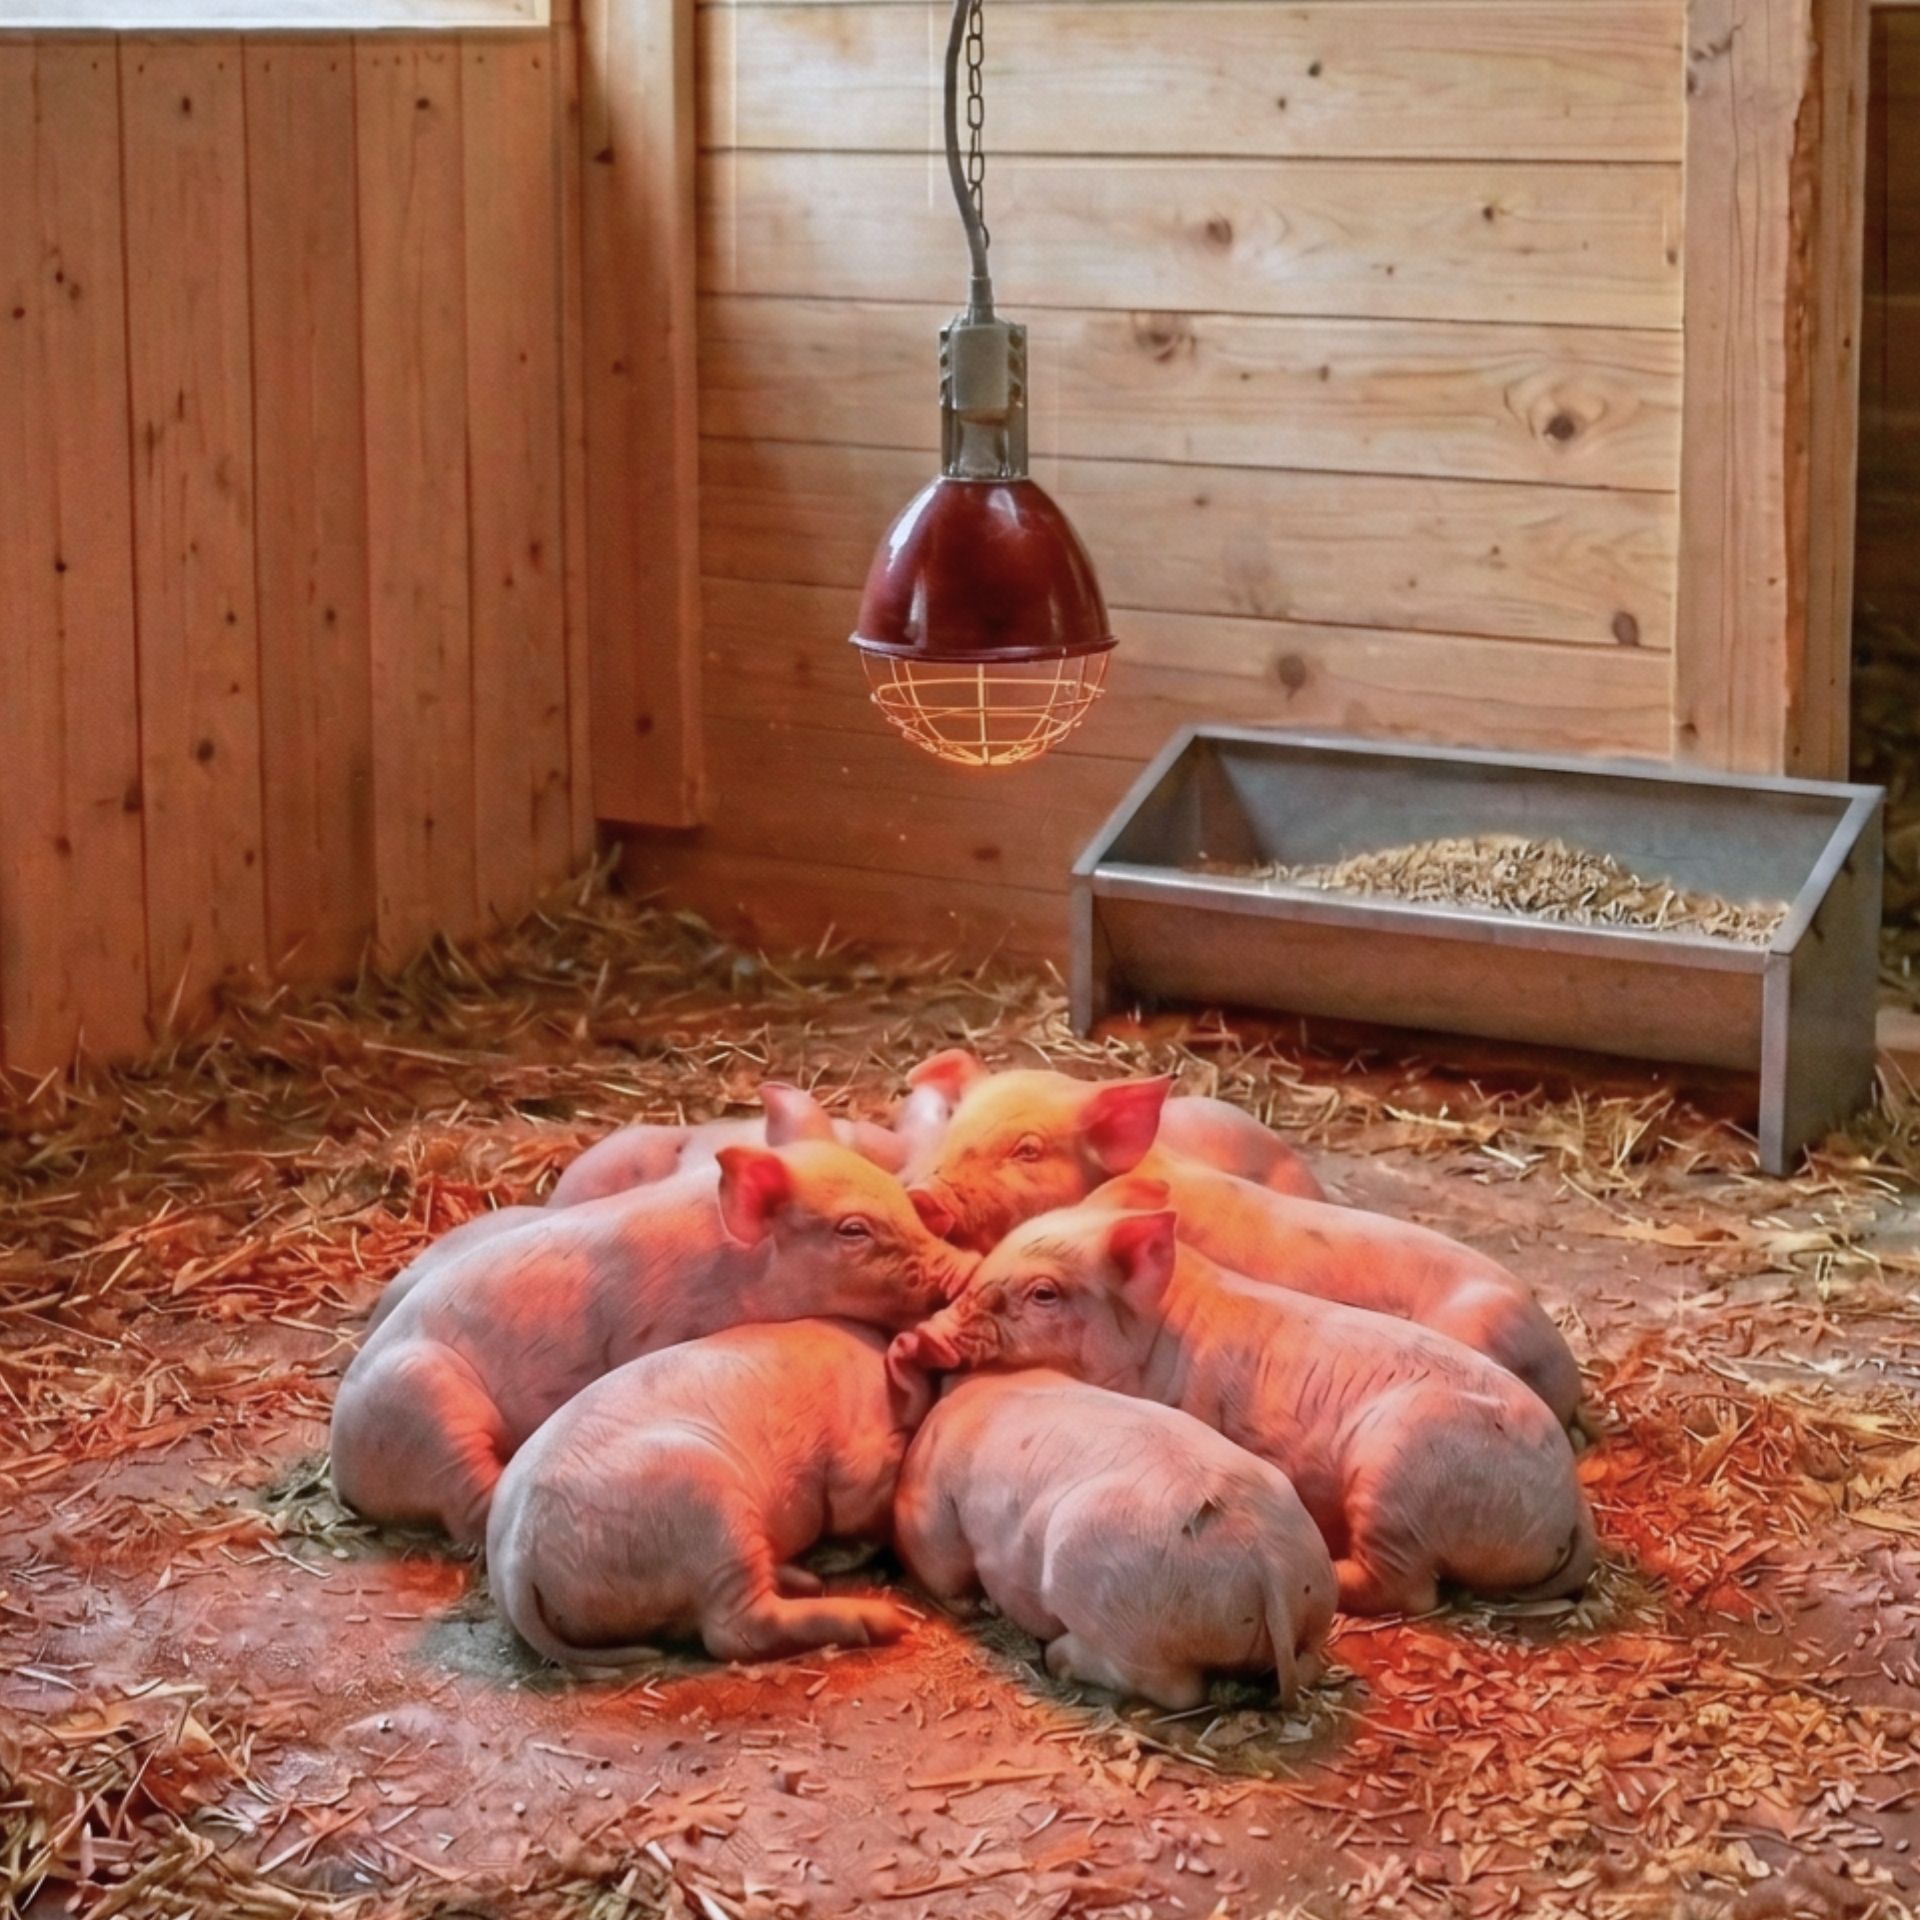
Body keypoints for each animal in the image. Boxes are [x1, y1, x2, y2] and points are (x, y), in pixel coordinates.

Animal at [331, 1142, 974, 1545]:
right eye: (852, 1230)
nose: (964, 1268)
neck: (735, 1273)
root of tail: (345, 1469)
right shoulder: (660, 1329)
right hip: (424, 1399)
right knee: (468, 1510)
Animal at [489, 1319, 923, 1665]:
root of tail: (516, 1565)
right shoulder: (856, 1459)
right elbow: (859, 1505)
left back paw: (803, 1579)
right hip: (706, 1509)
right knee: (734, 1632)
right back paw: (886, 1622)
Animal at [892, 1207, 1595, 1617]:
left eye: (1043, 1294)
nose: (920, 1334)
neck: (1158, 1343)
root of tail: (1571, 1505)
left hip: (1401, 1476)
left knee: (1409, 1589)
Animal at [893, 1370, 1335, 1709]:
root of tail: (1264, 1559)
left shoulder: (930, 1507)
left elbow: (942, 1566)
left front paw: (977, 1606)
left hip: (1123, 1614)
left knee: (1174, 1689)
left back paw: (1055, 1659)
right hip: (1312, 1600)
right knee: (1307, 1663)